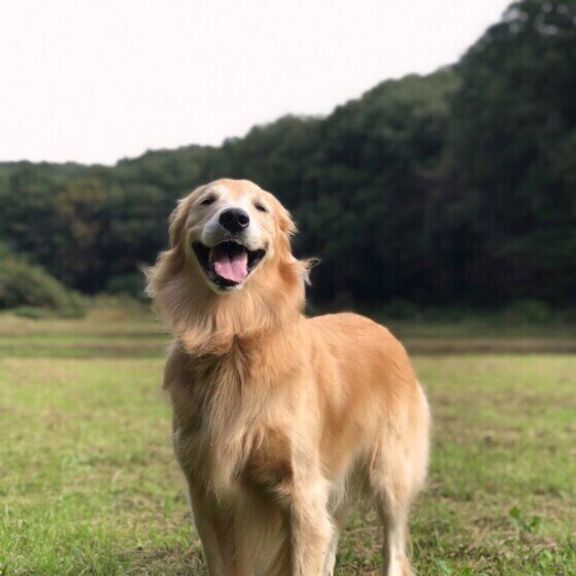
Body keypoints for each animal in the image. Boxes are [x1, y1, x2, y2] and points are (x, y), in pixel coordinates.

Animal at [146, 178, 430, 572]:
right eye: (207, 201)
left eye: (260, 207)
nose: (234, 218)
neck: (235, 338)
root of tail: (382, 329)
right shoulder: (205, 494)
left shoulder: (302, 491)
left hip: (391, 472)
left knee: (394, 547)